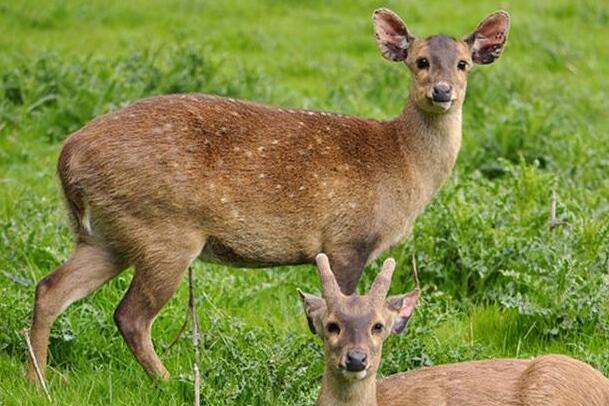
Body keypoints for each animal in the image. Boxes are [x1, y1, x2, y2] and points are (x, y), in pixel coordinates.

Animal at [28, 10, 510, 384]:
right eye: (419, 61)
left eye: (463, 64)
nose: (442, 91)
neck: (401, 163)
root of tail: (67, 157)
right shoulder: (347, 239)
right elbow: (341, 307)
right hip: (164, 229)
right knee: (130, 315)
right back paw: (172, 381)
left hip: (107, 235)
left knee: (49, 287)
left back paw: (39, 380)